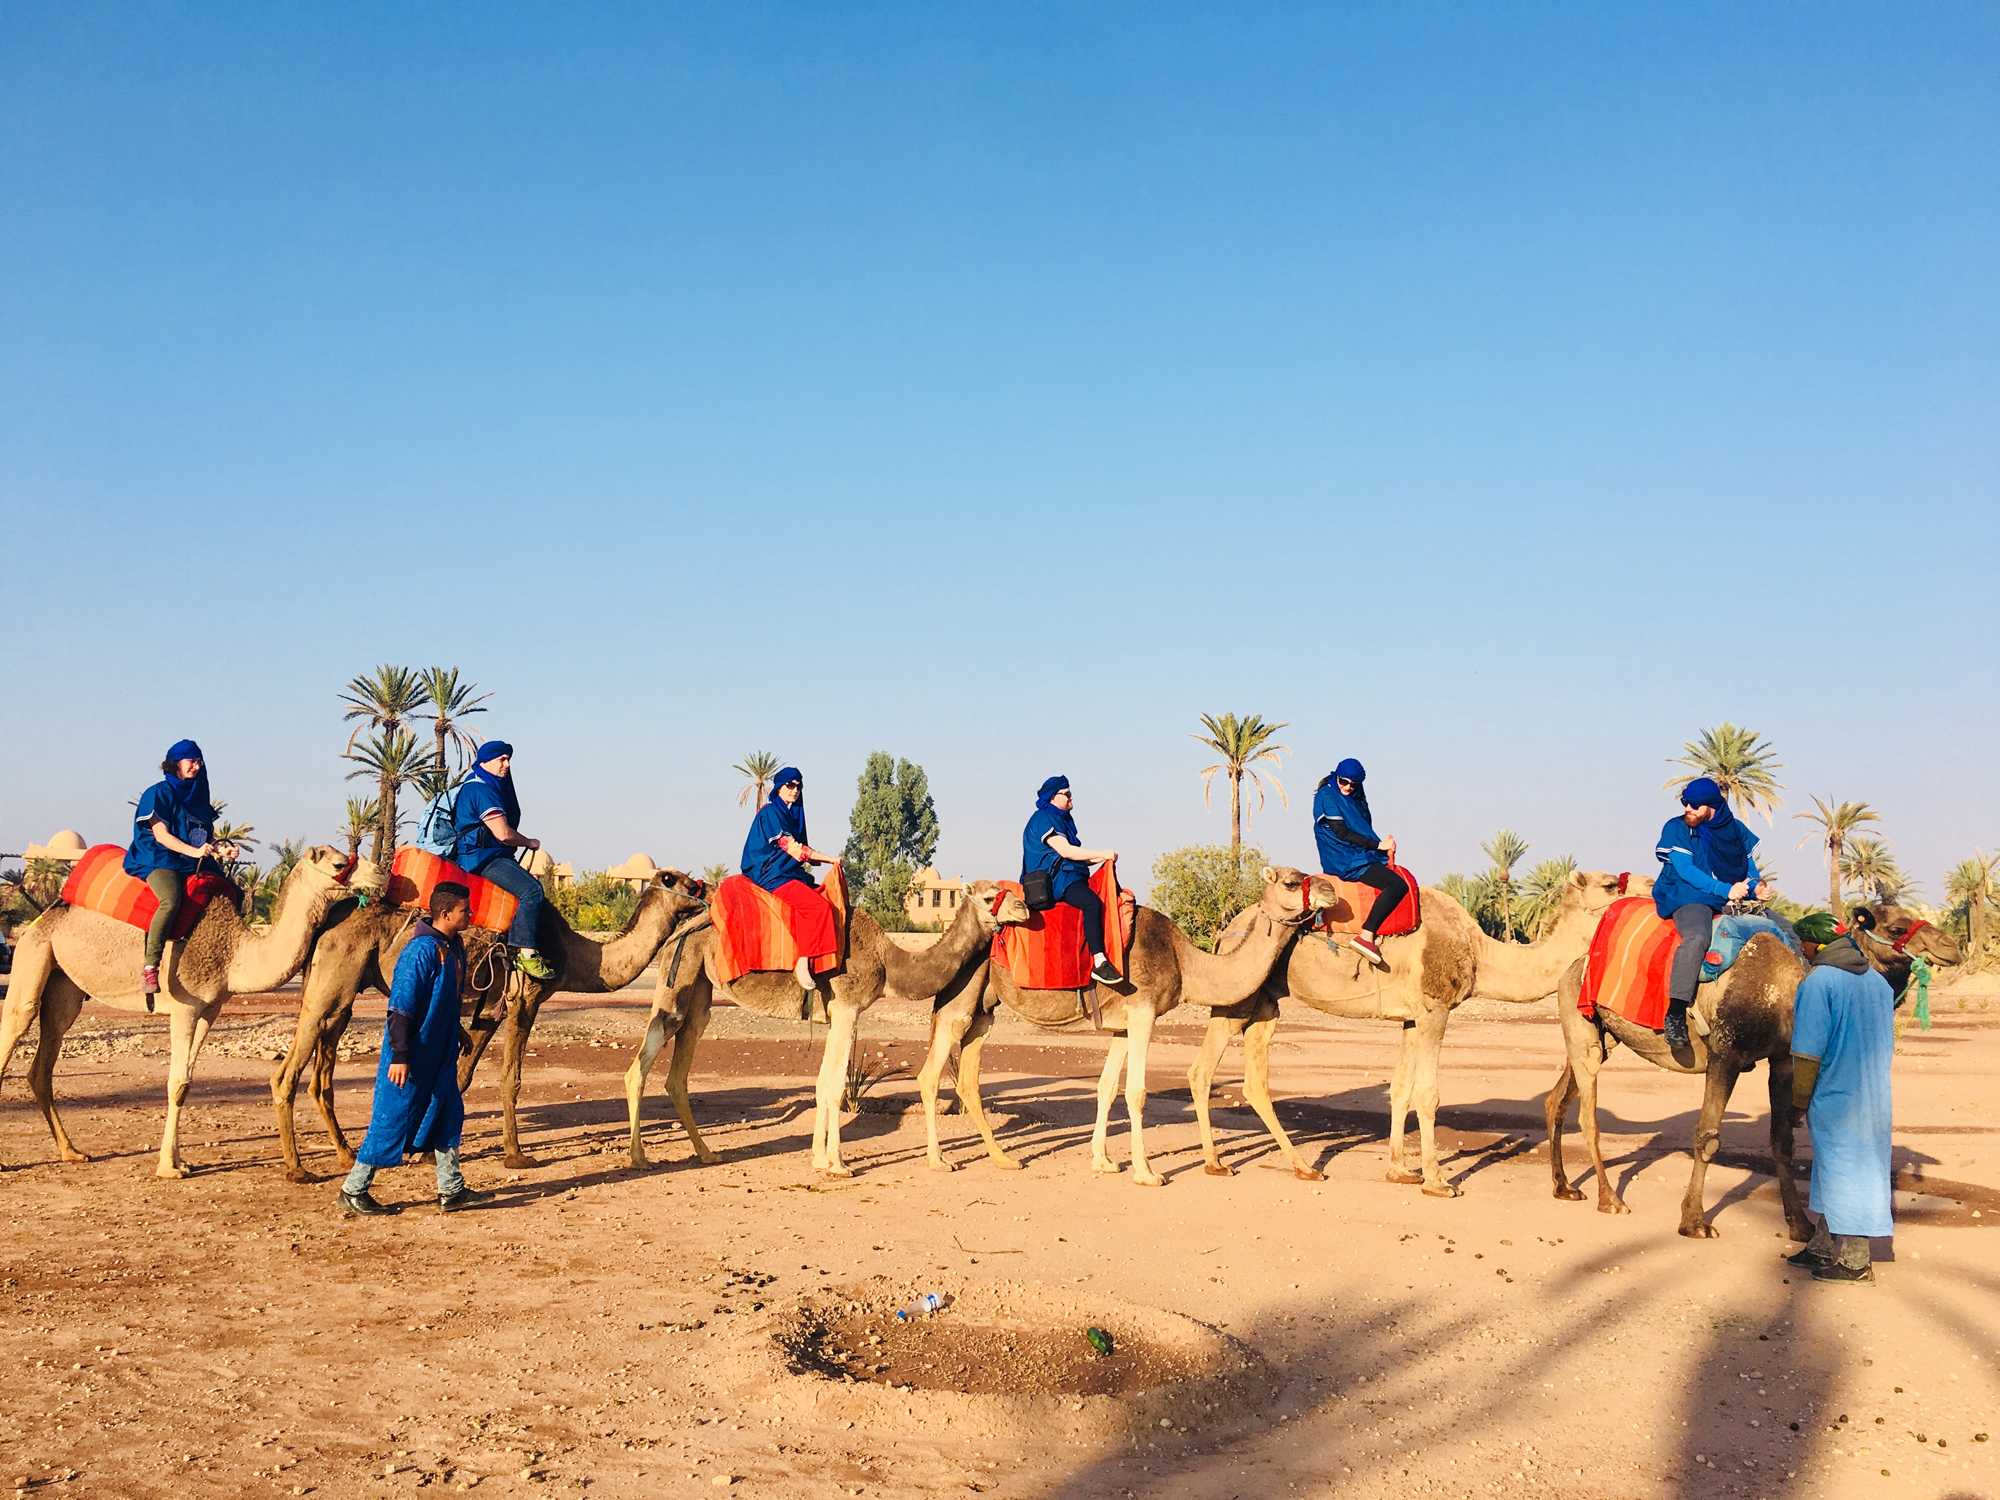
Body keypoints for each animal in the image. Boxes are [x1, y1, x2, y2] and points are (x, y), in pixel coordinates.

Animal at [0, 852, 366, 1184]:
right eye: (339, 862)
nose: (375, 874)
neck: (233, 951)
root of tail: (46, 914)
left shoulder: (210, 1009)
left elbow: (186, 1084)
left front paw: (181, 1162)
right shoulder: (184, 1006)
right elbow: (176, 1082)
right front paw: (168, 1168)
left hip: (64, 985)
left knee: (47, 1051)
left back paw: (72, 1152)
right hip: (33, 954)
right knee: (19, 1017)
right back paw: (8, 1164)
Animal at [620, 880, 1032, 1184]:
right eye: (990, 896)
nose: (1023, 909)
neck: (889, 962)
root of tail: (679, 931)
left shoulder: (836, 1015)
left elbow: (820, 1084)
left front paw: (819, 1159)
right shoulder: (848, 1008)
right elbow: (834, 1086)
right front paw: (839, 1164)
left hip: (700, 992)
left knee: (679, 1064)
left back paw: (706, 1153)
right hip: (679, 979)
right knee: (642, 1063)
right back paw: (640, 1158)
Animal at [916, 868, 1336, 1184]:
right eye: (1291, 881)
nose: (1331, 890)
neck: (1184, 960)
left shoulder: (1122, 1024)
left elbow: (1106, 1087)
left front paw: (1103, 1161)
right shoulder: (1143, 1011)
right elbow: (1136, 1092)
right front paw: (1147, 1173)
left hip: (983, 1008)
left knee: (967, 1076)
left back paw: (1003, 1158)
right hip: (961, 997)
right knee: (931, 1073)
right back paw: (938, 1161)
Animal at [1192, 868, 1632, 1200]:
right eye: (1611, 884)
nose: (1644, 890)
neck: (1479, 952)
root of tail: (1227, 931)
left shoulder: (1410, 1018)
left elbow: (1401, 1088)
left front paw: (1400, 1170)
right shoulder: (1435, 1010)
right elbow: (1428, 1093)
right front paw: (1437, 1181)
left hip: (1266, 1003)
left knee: (1254, 1080)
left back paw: (1303, 1168)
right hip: (1239, 998)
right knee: (1202, 1070)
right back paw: (1215, 1164)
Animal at [1536, 904, 1960, 1248]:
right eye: (1896, 925)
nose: (1951, 945)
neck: (1786, 989)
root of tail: (1571, 968)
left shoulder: (1783, 1059)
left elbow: (1783, 1142)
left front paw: (1800, 1225)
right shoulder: (1725, 1053)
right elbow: (1707, 1136)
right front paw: (1694, 1222)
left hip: (1602, 1035)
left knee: (1557, 1099)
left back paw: (1563, 1186)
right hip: (1580, 1022)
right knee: (1588, 1115)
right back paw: (1609, 1198)